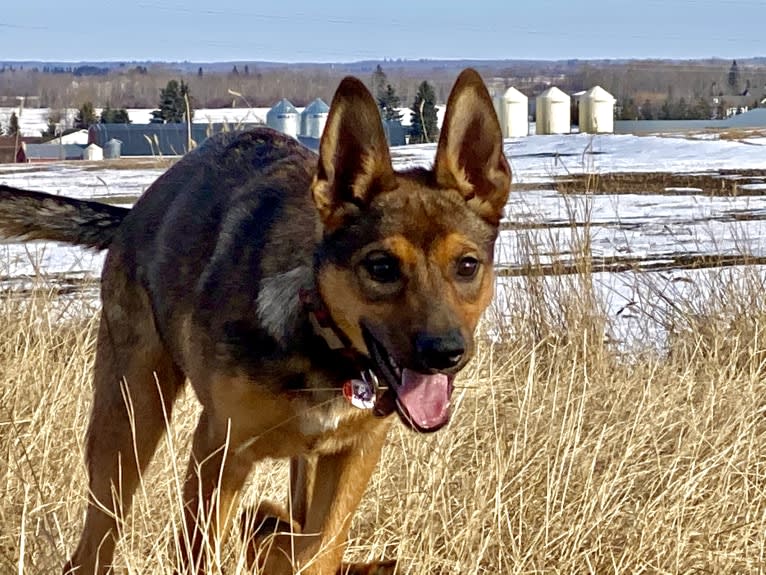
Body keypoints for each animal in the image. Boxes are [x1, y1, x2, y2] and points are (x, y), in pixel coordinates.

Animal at [0, 68, 512, 575]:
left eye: (467, 266)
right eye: (381, 267)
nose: (445, 353)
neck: (319, 339)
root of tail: (134, 215)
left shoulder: (353, 456)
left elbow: (316, 549)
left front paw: (275, 538)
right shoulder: (218, 452)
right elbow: (206, 551)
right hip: (129, 418)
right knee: (95, 542)